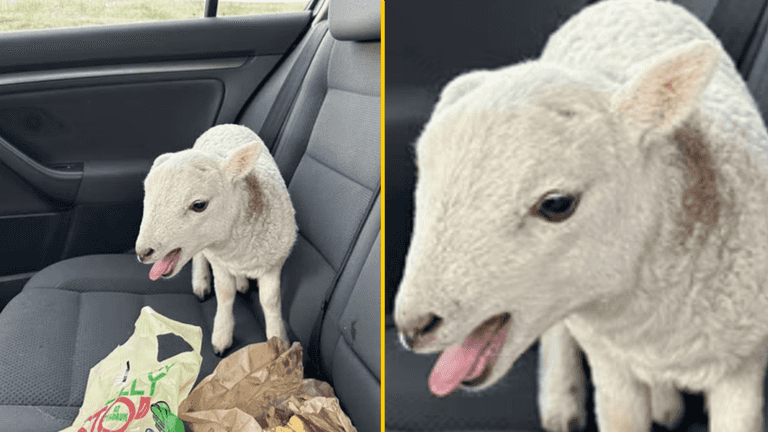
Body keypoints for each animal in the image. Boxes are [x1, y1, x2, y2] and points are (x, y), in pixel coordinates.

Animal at [135, 124, 296, 356]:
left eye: (199, 205)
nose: (143, 252)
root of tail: (227, 125)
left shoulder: (274, 261)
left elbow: (270, 301)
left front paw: (278, 341)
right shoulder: (219, 261)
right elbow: (225, 293)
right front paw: (222, 336)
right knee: (200, 256)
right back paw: (201, 281)